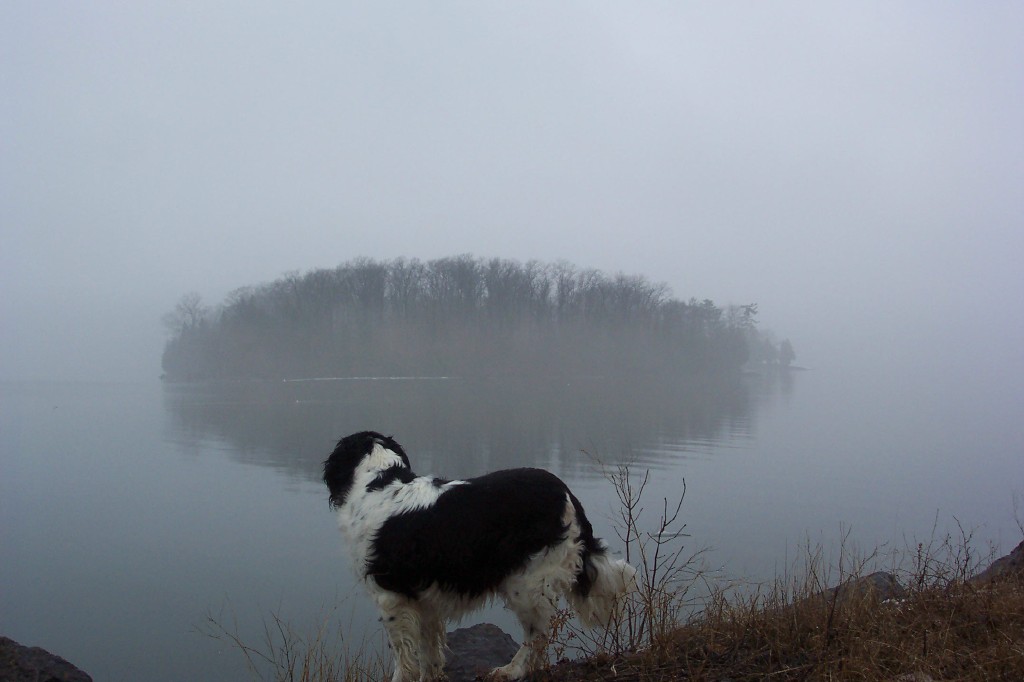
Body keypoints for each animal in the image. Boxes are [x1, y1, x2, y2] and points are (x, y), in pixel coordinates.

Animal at [323, 432, 634, 675]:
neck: (379, 483)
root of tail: (566, 493)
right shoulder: (423, 601)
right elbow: (428, 653)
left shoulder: (391, 600)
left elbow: (404, 658)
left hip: (526, 583)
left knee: (537, 634)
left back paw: (511, 671)